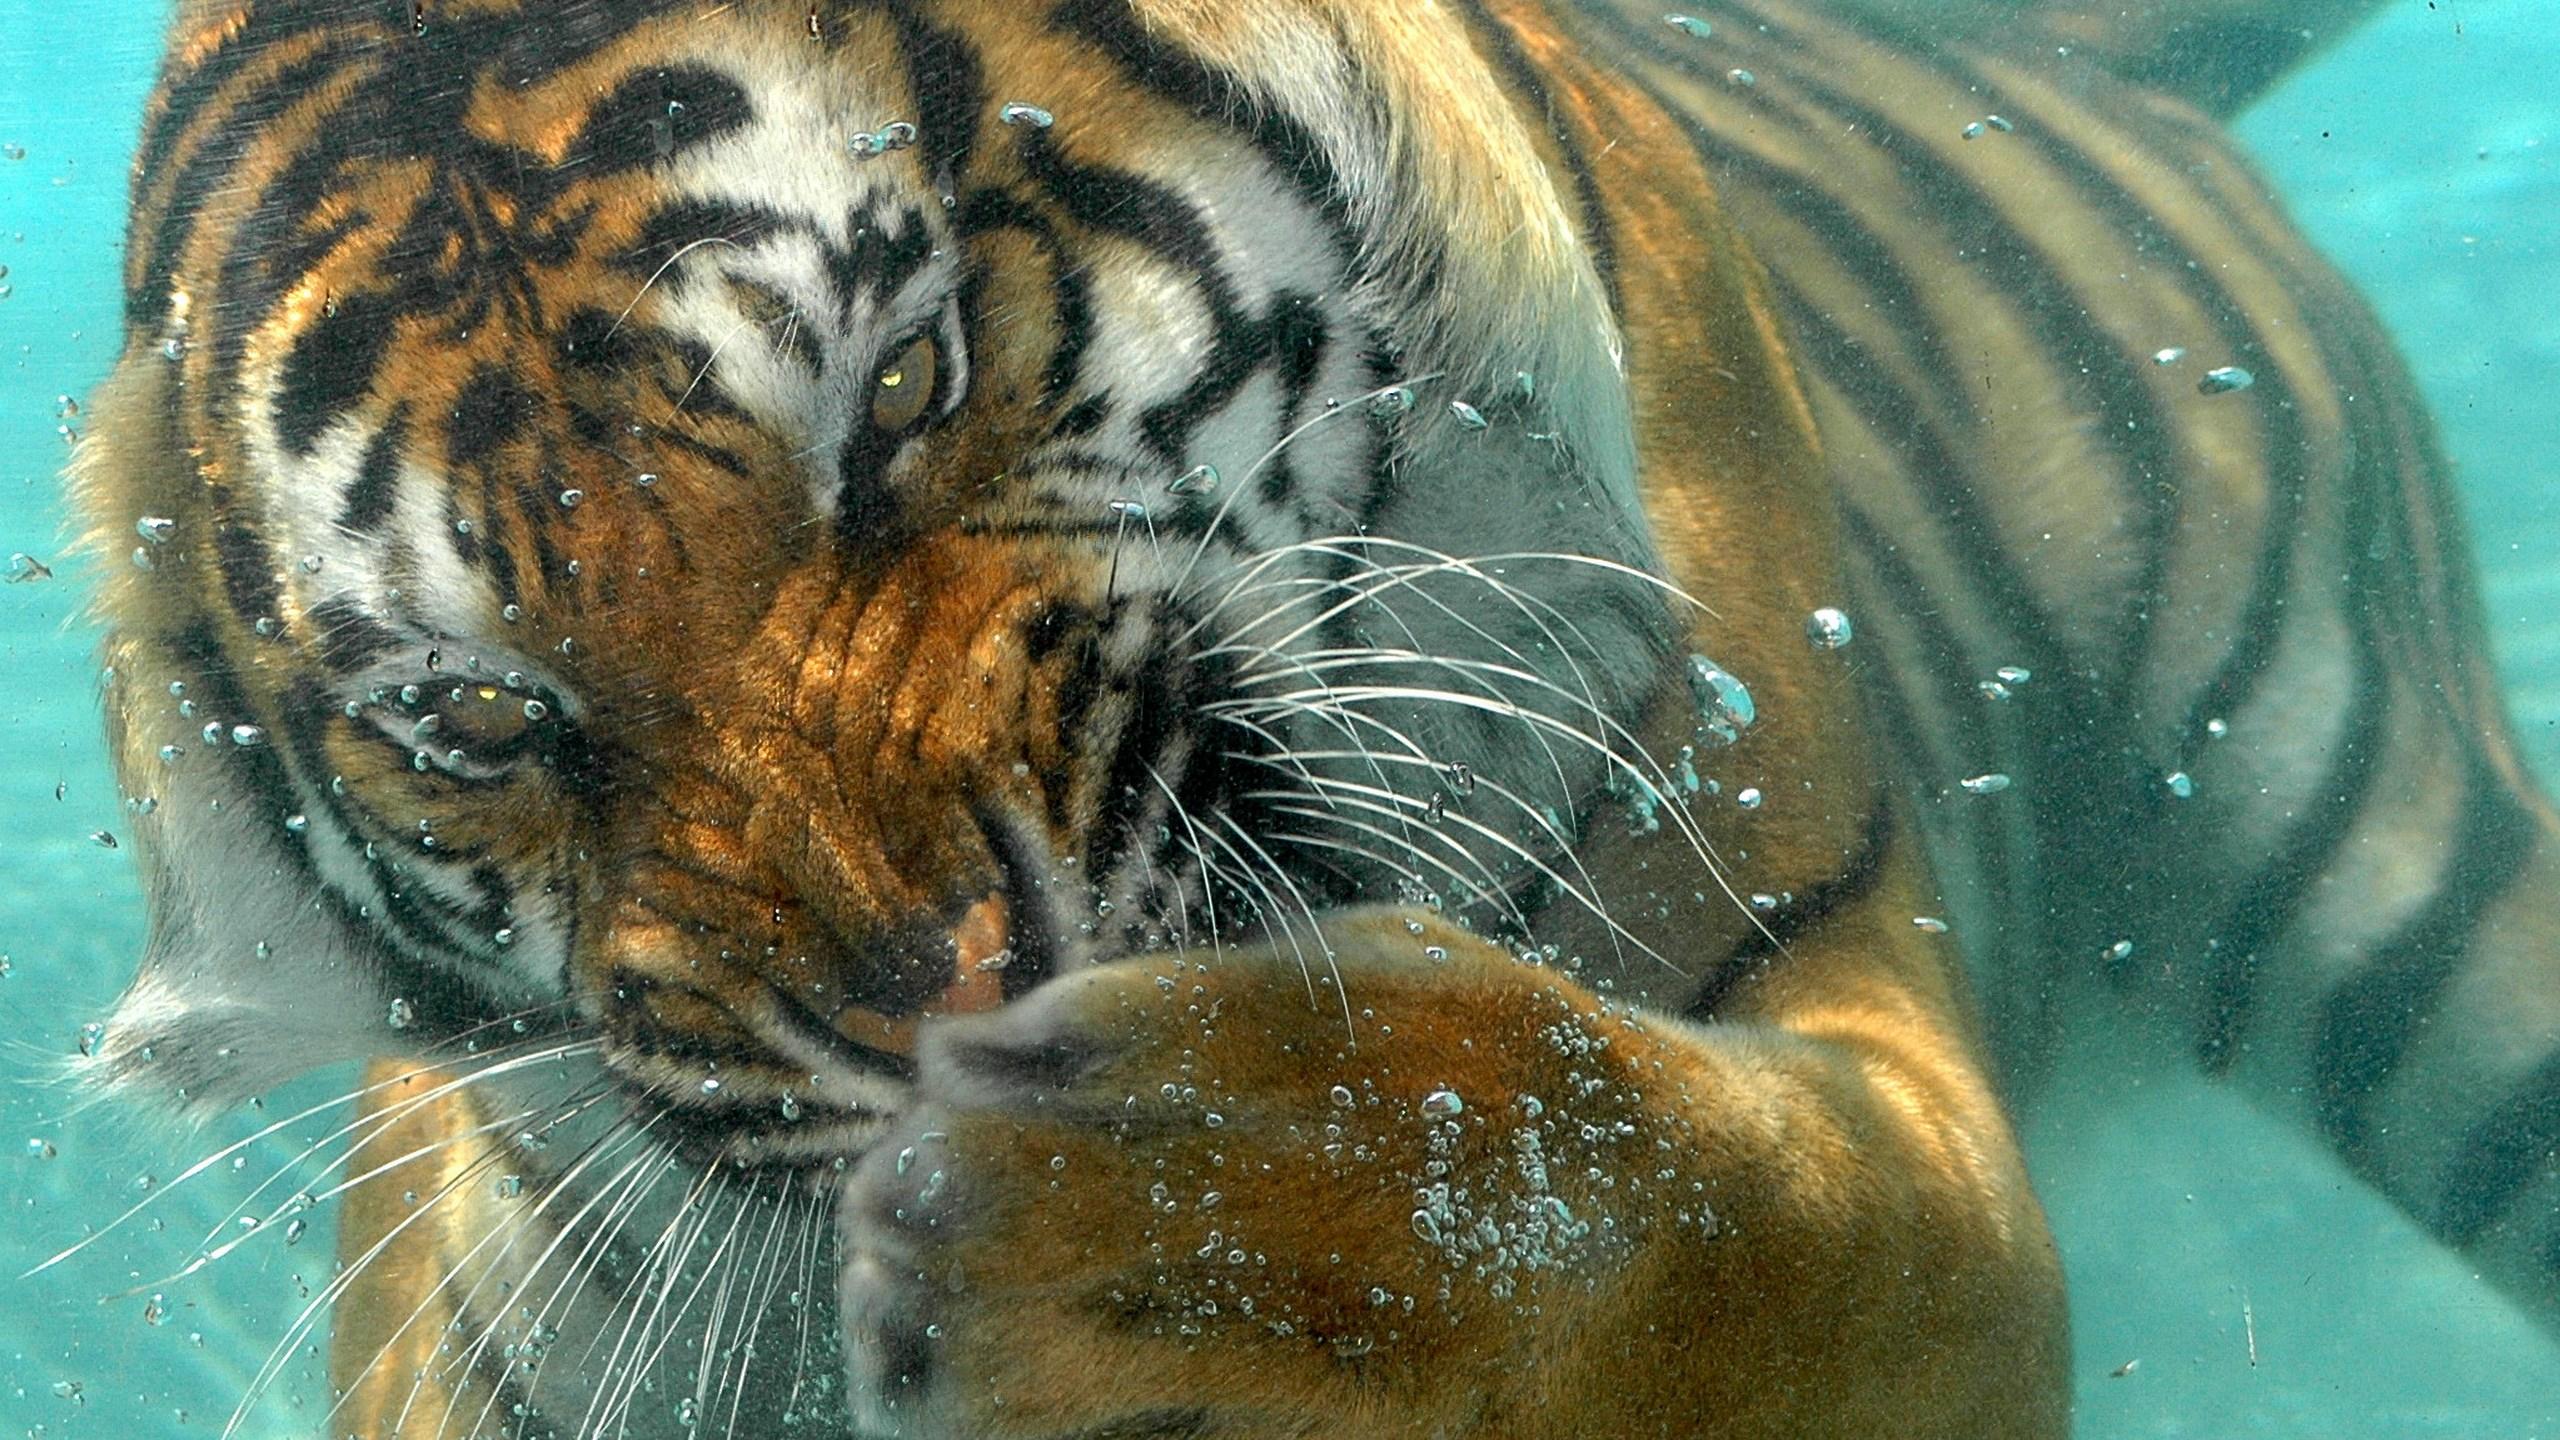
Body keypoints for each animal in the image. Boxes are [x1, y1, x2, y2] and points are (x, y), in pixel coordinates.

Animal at [64, 0, 2558, 1436]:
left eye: (907, 386)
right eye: (476, 713)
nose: (942, 1002)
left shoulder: (1844, 1018)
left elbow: (1680, 1190)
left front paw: (1203, 1229)